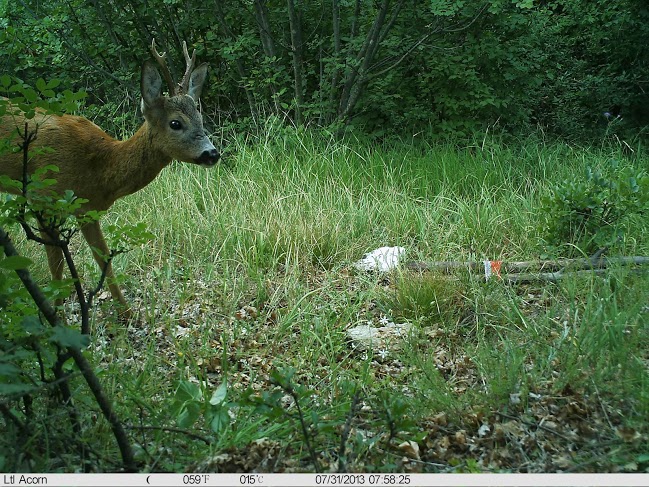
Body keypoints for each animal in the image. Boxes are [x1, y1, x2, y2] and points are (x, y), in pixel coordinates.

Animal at [0, 40, 220, 318]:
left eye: (200, 118)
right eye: (175, 123)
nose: (212, 153)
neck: (98, 167)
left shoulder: (87, 210)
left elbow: (104, 258)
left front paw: (126, 313)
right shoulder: (42, 198)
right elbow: (56, 263)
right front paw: (56, 314)